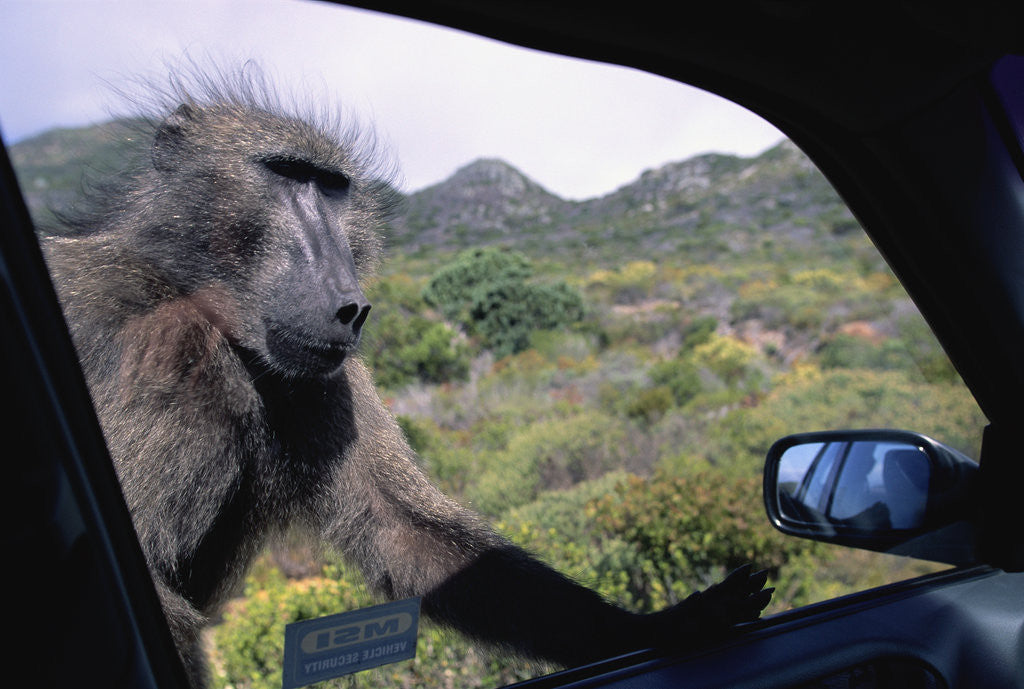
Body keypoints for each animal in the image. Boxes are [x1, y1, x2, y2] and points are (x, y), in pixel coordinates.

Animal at [40, 66, 772, 687]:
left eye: (333, 187)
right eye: (286, 173)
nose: (351, 304)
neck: (188, 292)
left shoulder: (322, 379)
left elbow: (404, 532)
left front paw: (669, 622)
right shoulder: (168, 353)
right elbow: (153, 584)